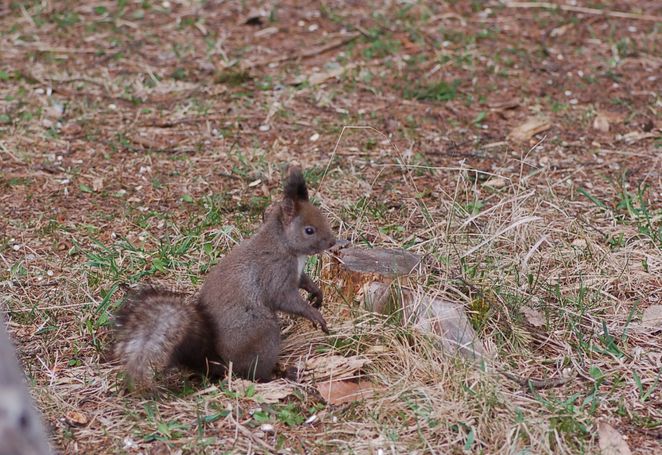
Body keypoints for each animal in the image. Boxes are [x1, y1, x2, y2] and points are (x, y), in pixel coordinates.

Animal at [113, 166, 338, 390]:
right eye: (309, 230)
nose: (332, 242)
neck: (284, 245)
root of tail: (221, 364)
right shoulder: (275, 273)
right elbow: (285, 299)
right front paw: (314, 315)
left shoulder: (296, 273)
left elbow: (304, 282)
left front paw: (317, 294)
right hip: (262, 332)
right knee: (253, 373)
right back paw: (278, 376)